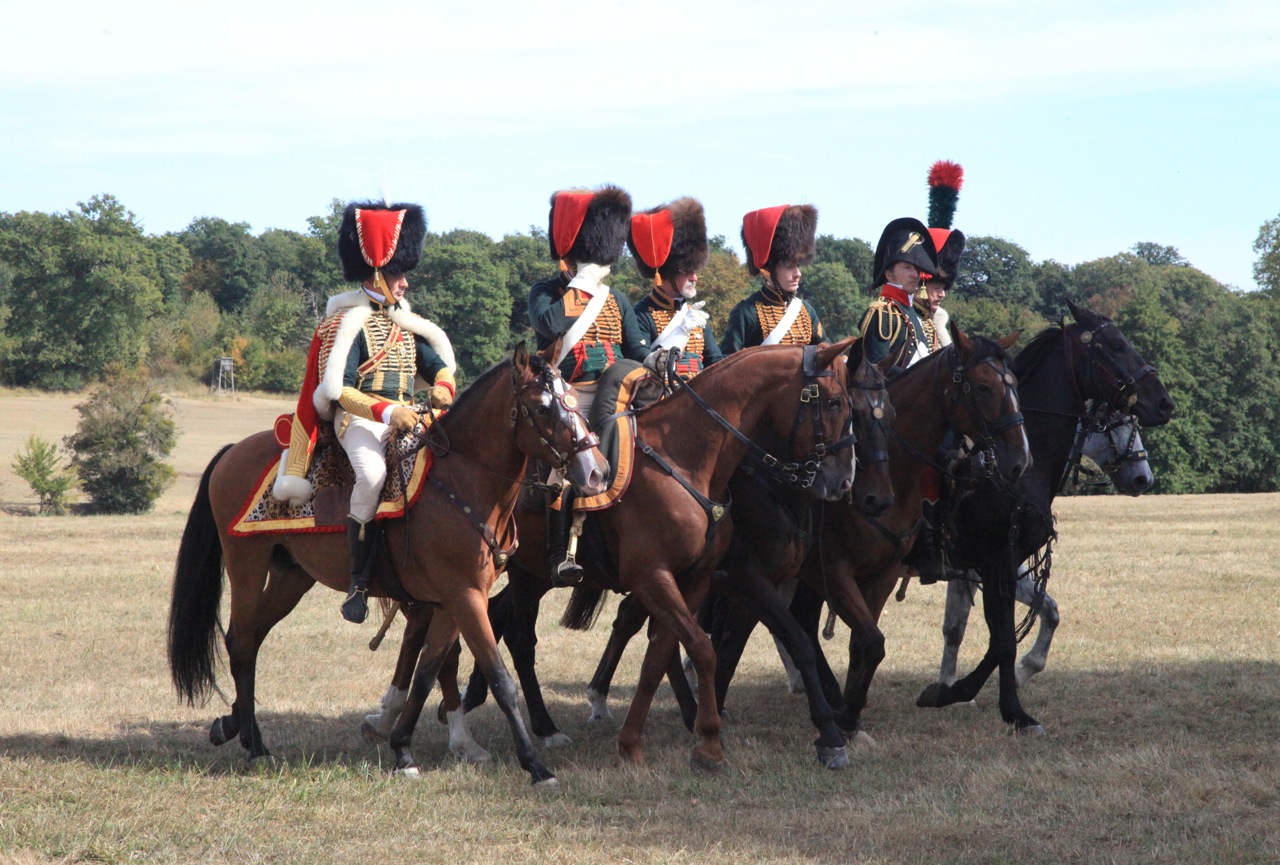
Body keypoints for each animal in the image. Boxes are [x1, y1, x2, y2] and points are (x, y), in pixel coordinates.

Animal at [168, 342, 604, 783]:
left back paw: (235, 728)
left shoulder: (451, 602)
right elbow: (499, 678)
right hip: (246, 566)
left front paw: (403, 749)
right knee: (241, 642)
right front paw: (535, 765)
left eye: (574, 398)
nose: (595, 472)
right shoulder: (465, 597)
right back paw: (256, 747)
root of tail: (232, 452)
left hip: (291, 577)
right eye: (543, 407)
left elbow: (427, 672)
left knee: (252, 641)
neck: (462, 481)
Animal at [936, 401, 1157, 690]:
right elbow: (955, 628)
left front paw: (1024, 669)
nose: (1143, 478)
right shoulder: (979, 569)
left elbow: (1049, 611)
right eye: (1119, 422)